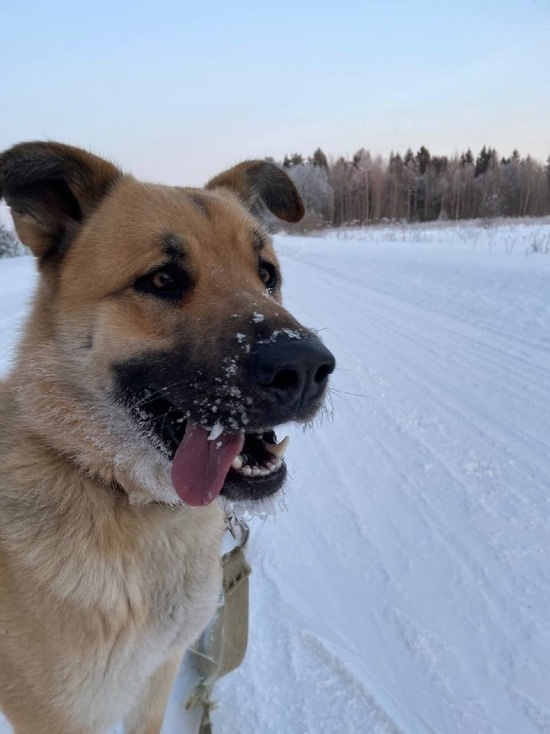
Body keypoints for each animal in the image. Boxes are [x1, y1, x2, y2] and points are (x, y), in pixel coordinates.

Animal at [0, 144, 336, 734]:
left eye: (266, 273)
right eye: (162, 280)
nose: (305, 368)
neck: (126, 498)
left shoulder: (158, 672)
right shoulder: (59, 715)